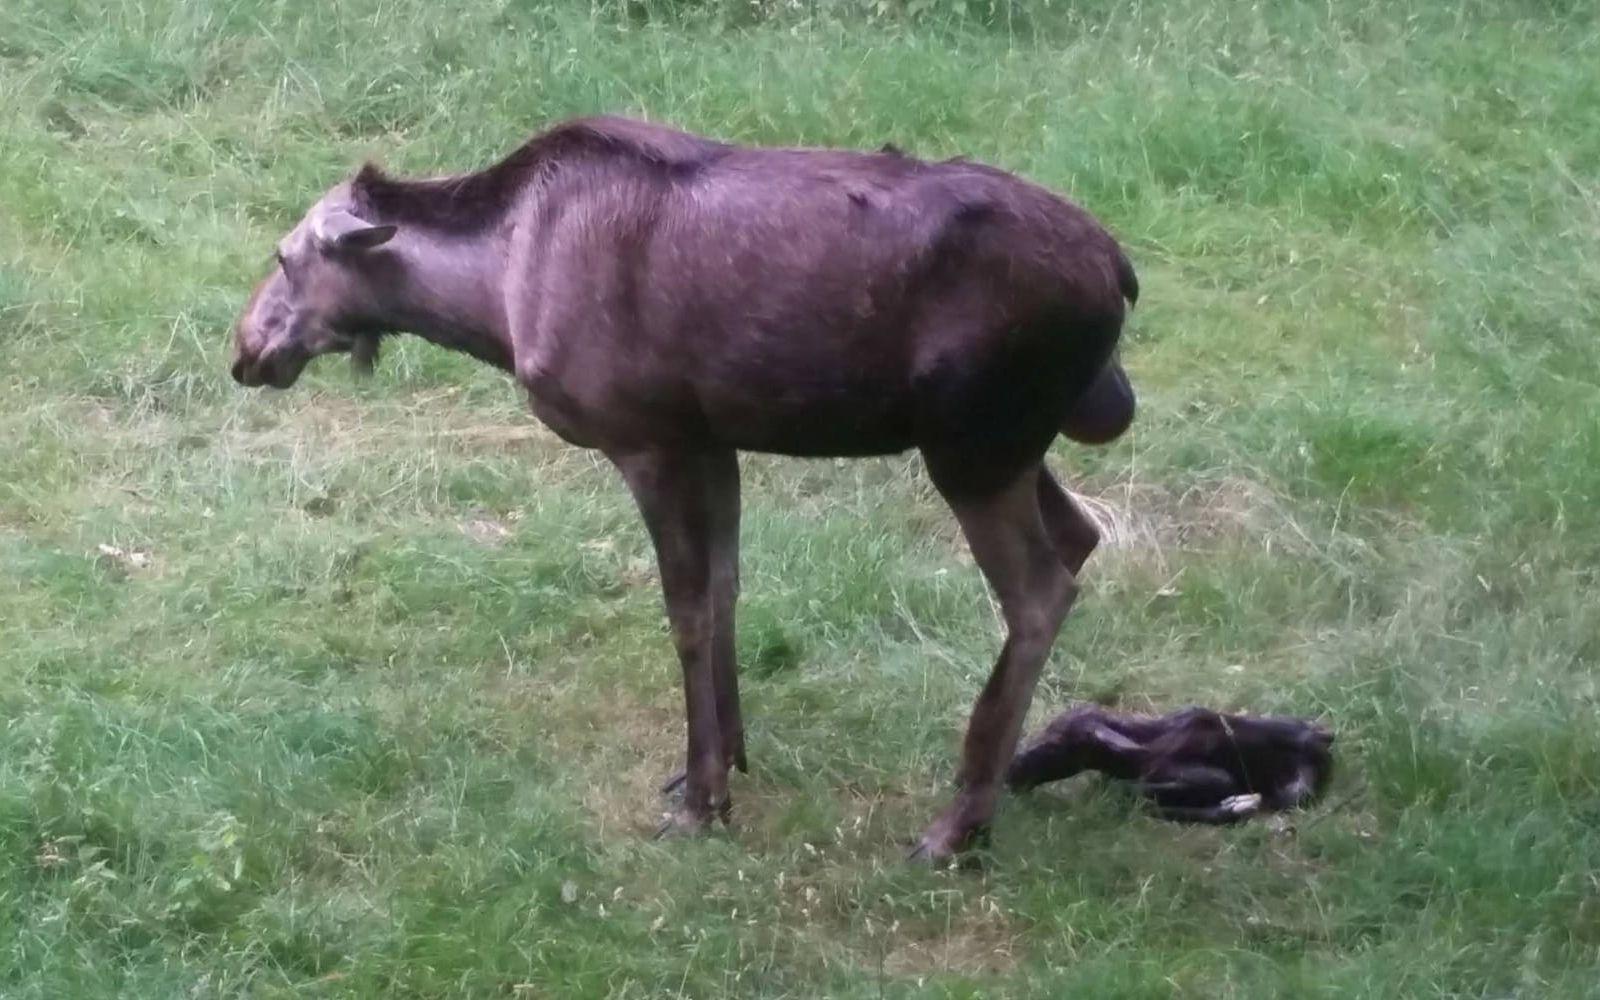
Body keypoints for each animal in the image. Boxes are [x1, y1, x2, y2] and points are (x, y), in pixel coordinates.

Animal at [232, 116, 1145, 864]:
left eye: (285, 256)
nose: (245, 349)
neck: (494, 294)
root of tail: (1121, 273)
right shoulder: (711, 439)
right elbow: (729, 587)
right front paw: (726, 755)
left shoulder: (646, 440)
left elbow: (688, 612)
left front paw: (706, 798)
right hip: (1005, 450)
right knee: (1080, 535)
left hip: (972, 448)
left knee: (1040, 591)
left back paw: (960, 822)